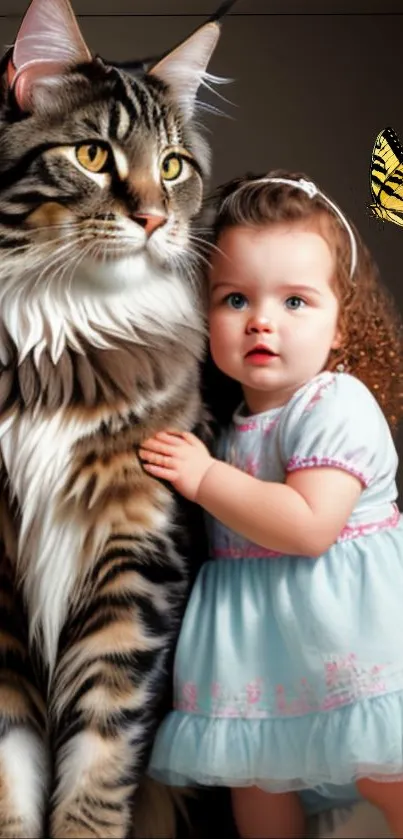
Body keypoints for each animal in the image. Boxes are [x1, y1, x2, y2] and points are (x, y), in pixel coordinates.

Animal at [0, 0, 229, 836]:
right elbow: (10, 772)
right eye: (93, 154)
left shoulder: (137, 563)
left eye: (172, 166)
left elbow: (100, 755)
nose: (157, 219)